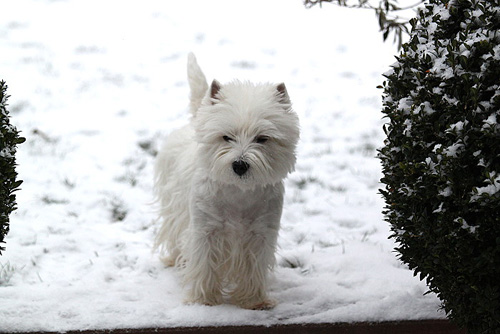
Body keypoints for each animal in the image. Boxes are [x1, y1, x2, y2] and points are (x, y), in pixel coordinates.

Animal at [154, 52, 298, 310]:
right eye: (226, 137)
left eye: (262, 138)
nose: (240, 165)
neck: (239, 193)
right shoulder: (205, 232)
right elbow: (204, 266)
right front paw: (203, 301)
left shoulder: (261, 233)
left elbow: (253, 268)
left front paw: (254, 301)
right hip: (173, 203)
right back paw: (173, 258)